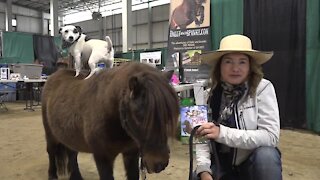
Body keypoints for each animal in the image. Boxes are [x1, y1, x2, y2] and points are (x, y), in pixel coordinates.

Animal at [41, 62, 180, 180]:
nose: (159, 163)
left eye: (168, 115)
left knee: (72, 153)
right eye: (139, 115)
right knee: (51, 151)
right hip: (50, 134)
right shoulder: (103, 158)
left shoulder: (131, 154)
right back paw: (52, 175)